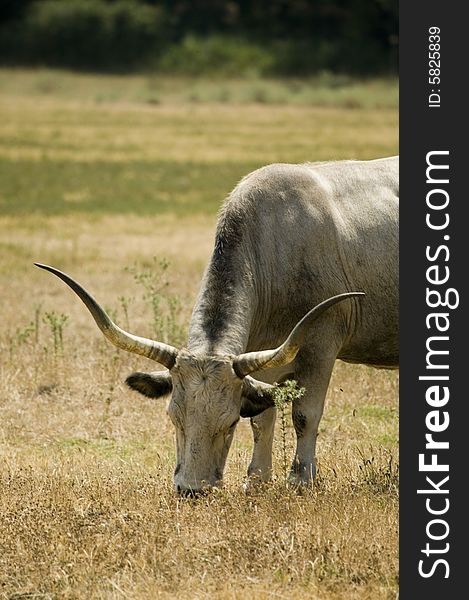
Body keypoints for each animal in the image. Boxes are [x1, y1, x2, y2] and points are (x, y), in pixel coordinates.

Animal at [35, 155, 398, 492]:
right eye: (174, 417)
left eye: (229, 423)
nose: (191, 490)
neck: (272, 249)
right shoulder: (262, 354)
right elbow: (263, 418)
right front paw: (257, 481)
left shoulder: (321, 347)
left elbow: (304, 415)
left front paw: (300, 481)